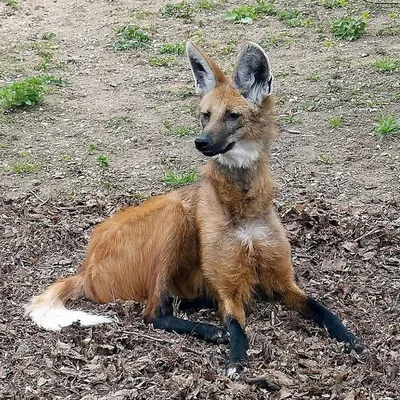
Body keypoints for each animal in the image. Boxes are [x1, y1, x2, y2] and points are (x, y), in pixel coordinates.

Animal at [25, 42, 362, 376]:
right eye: (205, 115)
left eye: (233, 116)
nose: (200, 142)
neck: (243, 204)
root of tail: (85, 268)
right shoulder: (229, 288)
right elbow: (236, 325)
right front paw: (236, 360)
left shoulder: (282, 281)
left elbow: (320, 307)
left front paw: (350, 338)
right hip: (174, 214)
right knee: (152, 312)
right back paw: (209, 328)